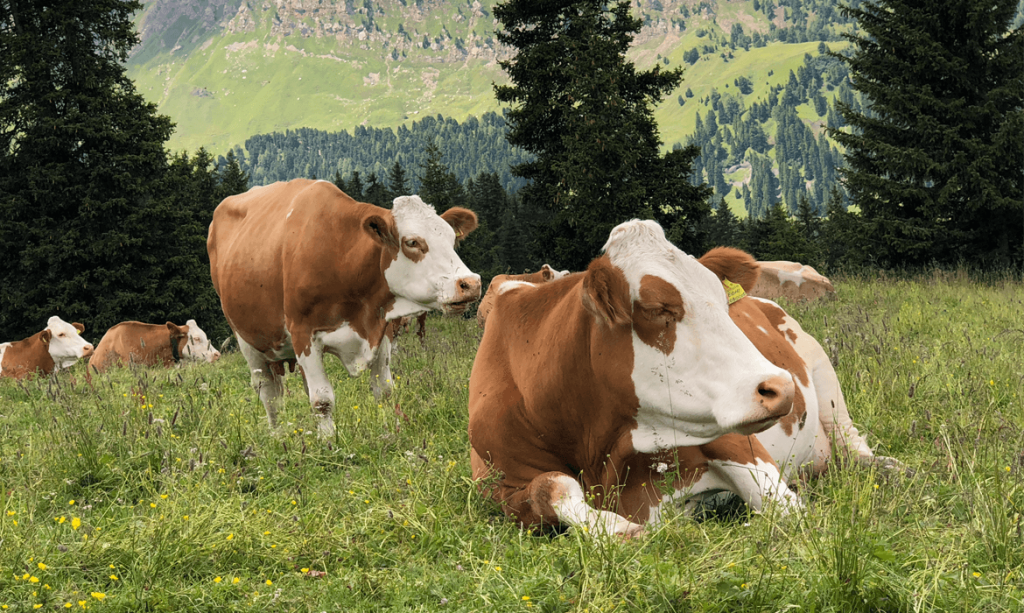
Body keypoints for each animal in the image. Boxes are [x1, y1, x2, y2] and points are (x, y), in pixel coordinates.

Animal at [209, 177, 481, 435]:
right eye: (412, 242)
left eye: (451, 238)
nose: (470, 283)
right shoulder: (303, 333)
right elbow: (322, 401)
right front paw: (329, 442)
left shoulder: (381, 329)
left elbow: (384, 390)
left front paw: (391, 431)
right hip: (247, 340)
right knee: (269, 394)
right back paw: (278, 435)